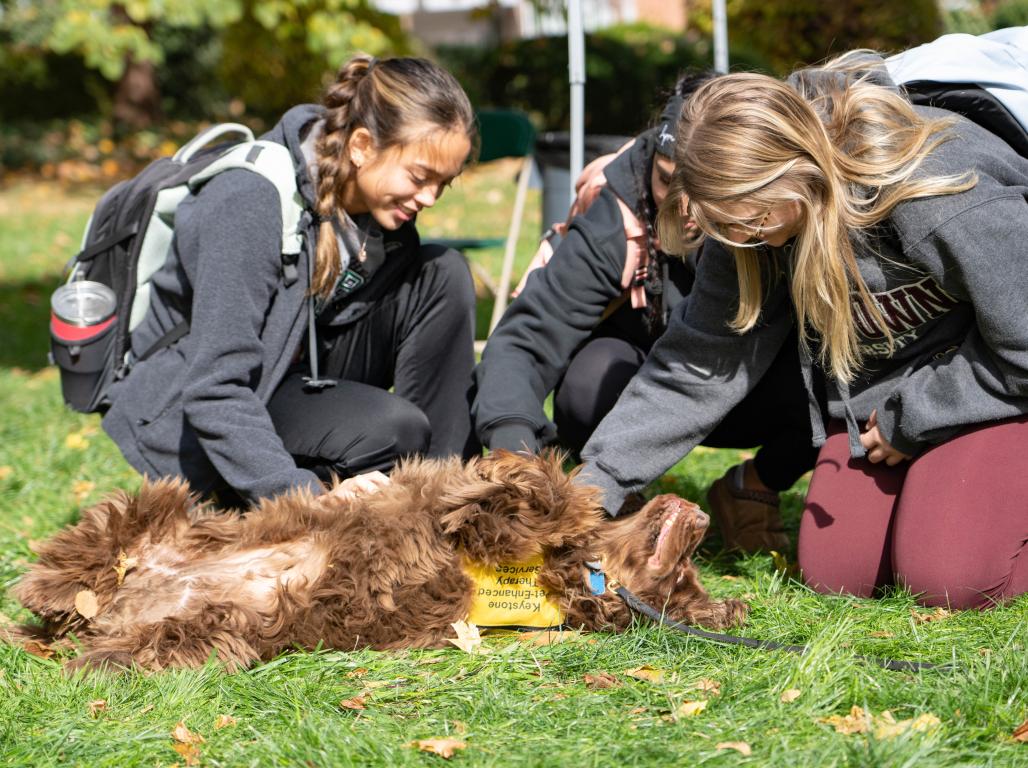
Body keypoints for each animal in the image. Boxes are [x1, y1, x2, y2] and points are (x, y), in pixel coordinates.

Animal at [12, 450, 744, 674]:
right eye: (687, 571)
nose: (703, 519)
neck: (574, 578)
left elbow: (541, 498)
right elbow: (532, 493)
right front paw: (508, 470)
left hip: (201, 637)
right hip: (164, 506)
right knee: (90, 553)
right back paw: (50, 590)